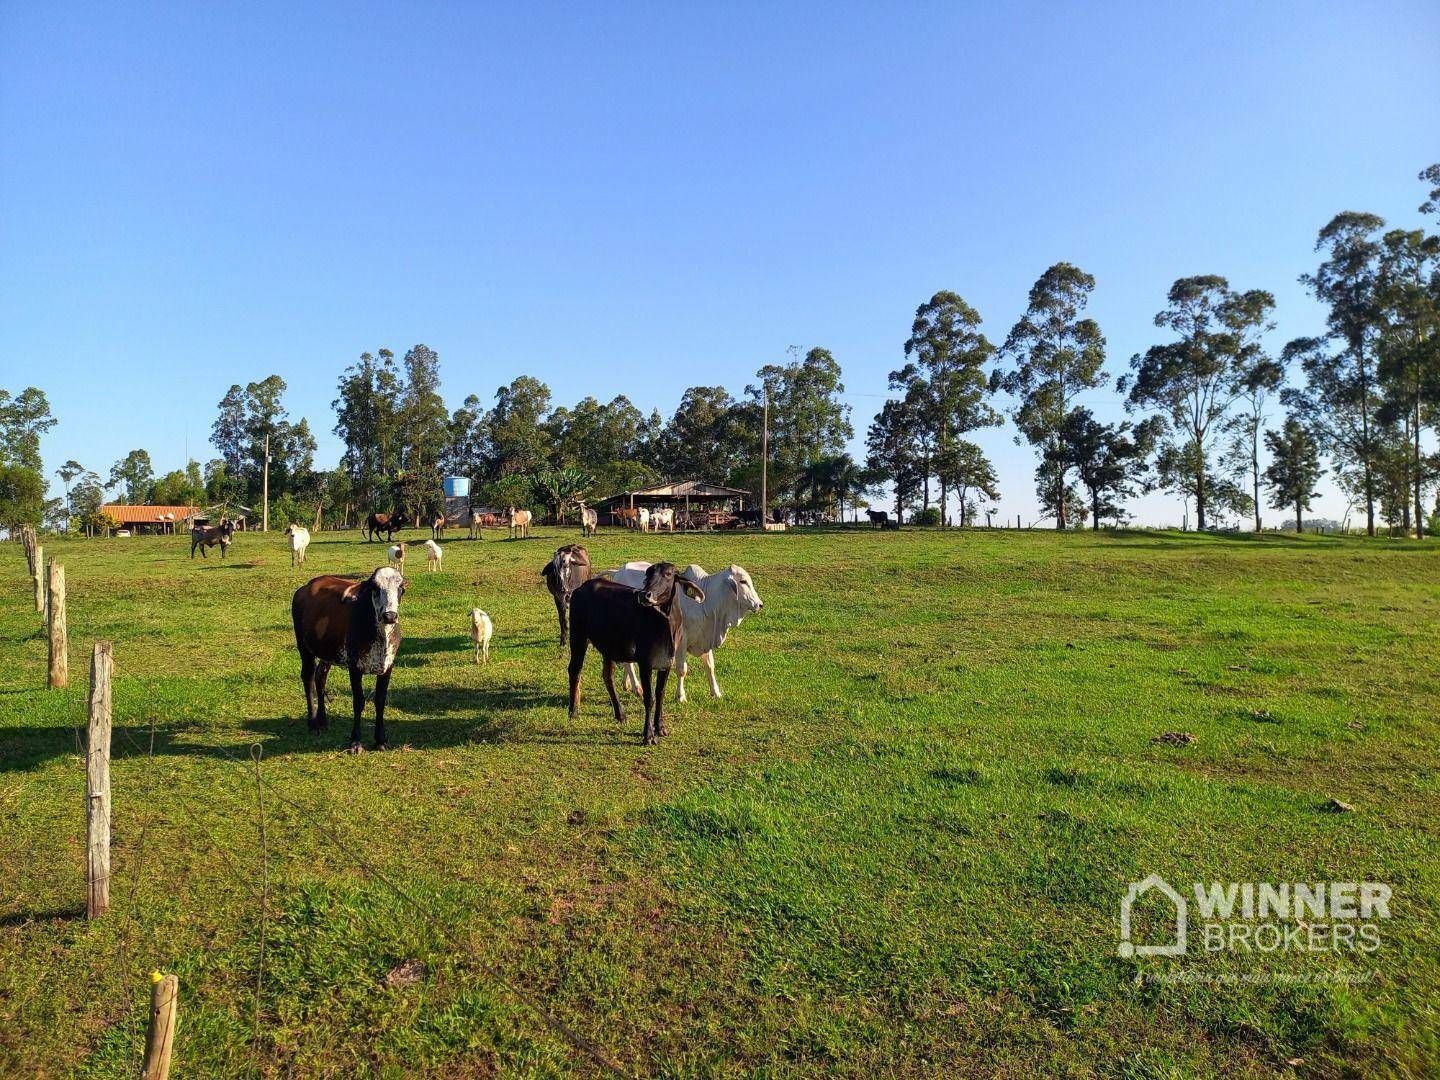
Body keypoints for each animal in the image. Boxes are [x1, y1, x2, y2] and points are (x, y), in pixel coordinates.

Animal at [290, 567, 408, 754]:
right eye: (374, 587)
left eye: (401, 587)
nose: (389, 616)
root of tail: (304, 588)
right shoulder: (354, 666)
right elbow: (358, 701)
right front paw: (355, 742)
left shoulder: (388, 666)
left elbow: (380, 700)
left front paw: (381, 740)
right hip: (304, 647)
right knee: (308, 677)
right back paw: (313, 723)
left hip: (327, 653)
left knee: (320, 677)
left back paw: (323, 720)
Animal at [561, 561, 702, 748]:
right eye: (648, 574)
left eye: (668, 574)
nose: (645, 595)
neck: (665, 623)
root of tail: (581, 587)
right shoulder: (645, 662)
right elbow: (649, 698)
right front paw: (648, 735)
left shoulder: (666, 662)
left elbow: (660, 694)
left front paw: (660, 728)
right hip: (578, 636)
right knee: (574, 670)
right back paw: (573, 711)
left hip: (608, 646)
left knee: (608, 676)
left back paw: (620, 714)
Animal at [607, 561, 766, 705]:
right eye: (743, 581)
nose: (760, 604)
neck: (707, 602)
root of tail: (617, 572)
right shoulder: (681, 641)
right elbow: (681, 669)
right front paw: (681, 696)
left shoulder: (705, 638)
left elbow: (710, 666)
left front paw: (716, 692)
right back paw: (636, 686)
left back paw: (627, 683)